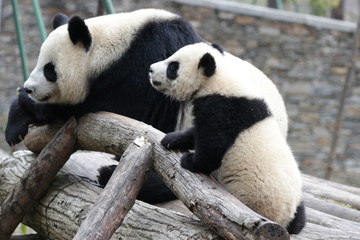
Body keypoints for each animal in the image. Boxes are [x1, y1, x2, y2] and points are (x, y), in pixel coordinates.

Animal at [4, 9, 202, 203]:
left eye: (49, 69)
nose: (29, 88)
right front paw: (15, 126)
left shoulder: (147, 62)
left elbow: (114, 107)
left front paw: (29, 103)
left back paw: (107, 174)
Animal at [149, 42, 306, 233]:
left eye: (173, 67)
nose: (150, 69)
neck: (220, 78)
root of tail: (283, 218)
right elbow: (196, 133)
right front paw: (171, 139)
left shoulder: (224, 109)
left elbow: (213, 145)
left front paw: (190, 161)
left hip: (250, 195)